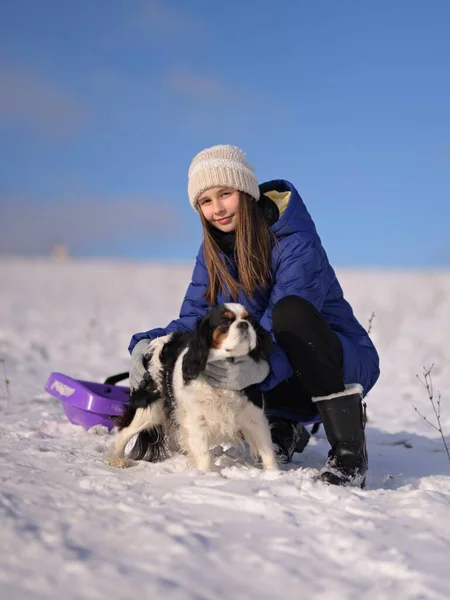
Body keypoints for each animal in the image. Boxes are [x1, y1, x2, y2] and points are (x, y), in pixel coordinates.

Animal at [108, 302, 278, 472]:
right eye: (225, 322)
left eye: (249, 320)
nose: (244, 324)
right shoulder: (196, 420)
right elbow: (204, 454)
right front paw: (206, 474)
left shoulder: (254, 416)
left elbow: (267, 451)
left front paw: (273, 474)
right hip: (149, 406)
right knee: (125, 430)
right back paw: (117, 460)